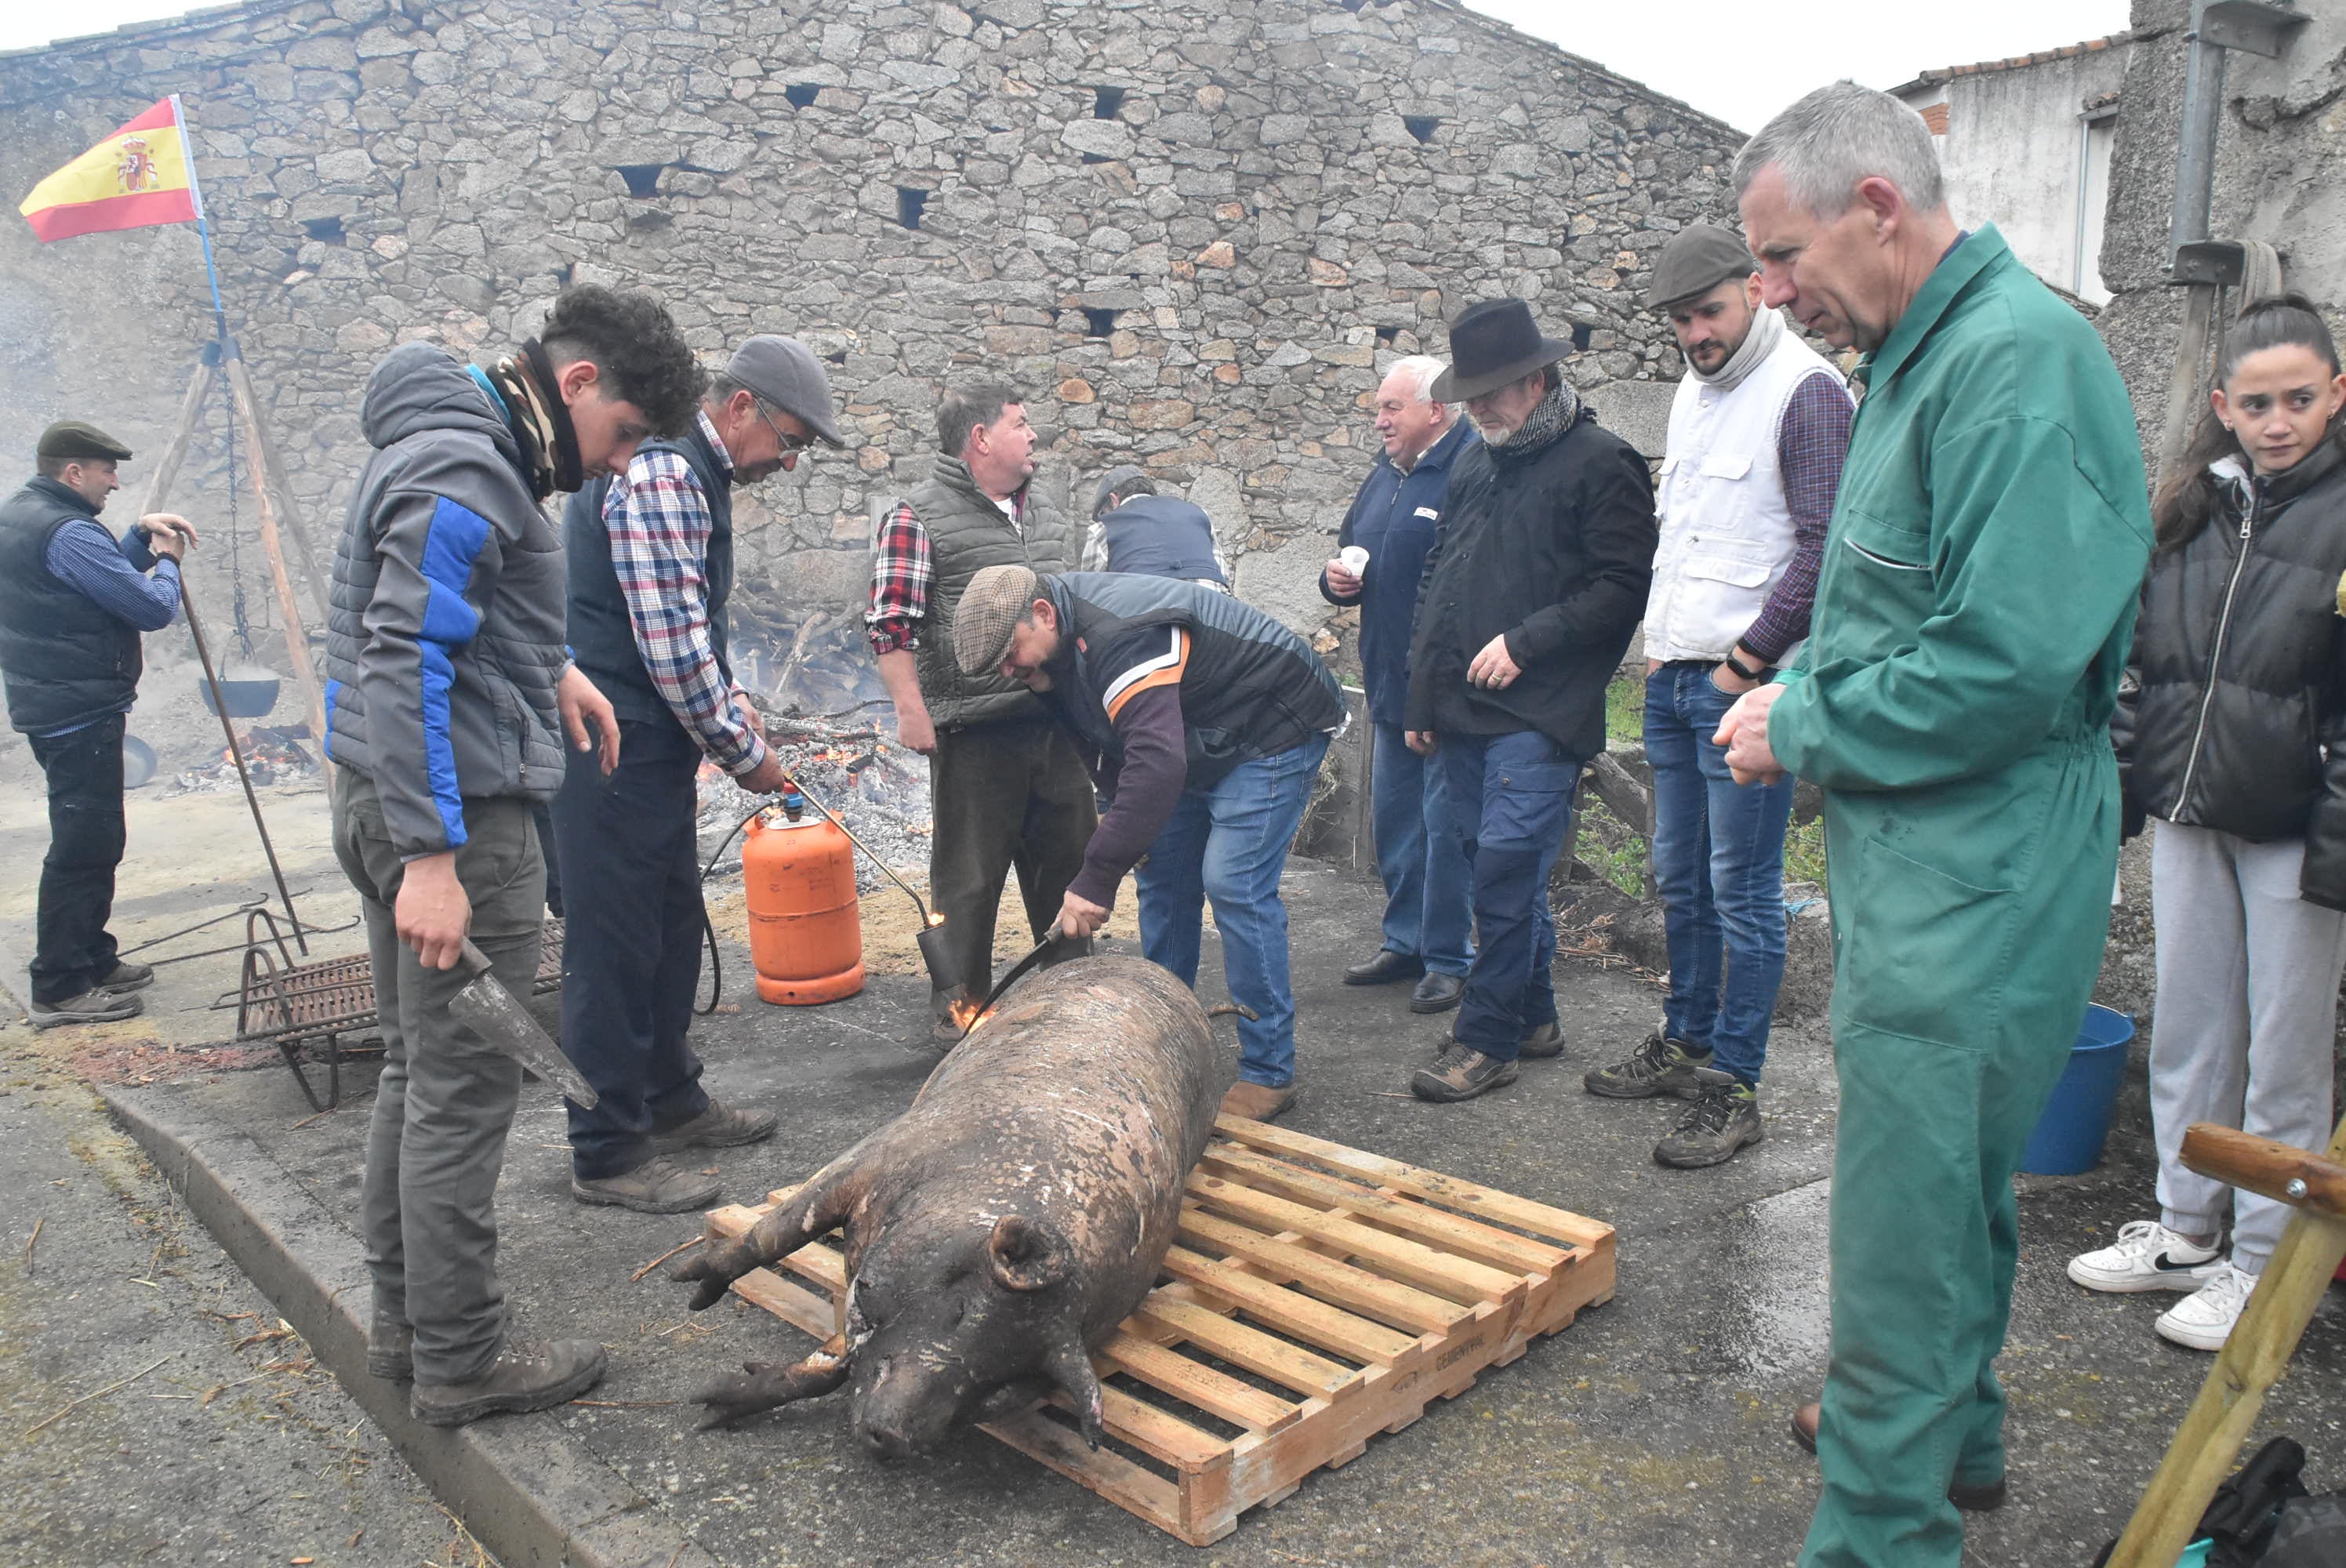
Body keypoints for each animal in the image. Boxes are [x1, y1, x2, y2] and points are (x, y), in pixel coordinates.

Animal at [675, 957, 1229, 1455]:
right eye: (960, 1312)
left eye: (1005, 1379)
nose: (895, 1433)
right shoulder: (876, 1155)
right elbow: (773, 1233)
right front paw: (693, 1296)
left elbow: (833, 1365)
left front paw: (710, 1403)